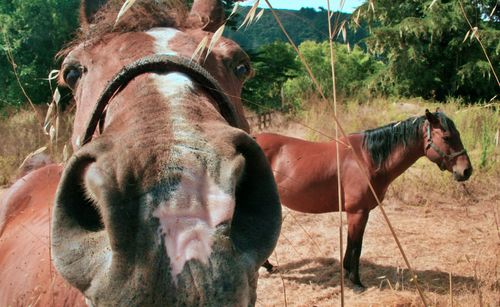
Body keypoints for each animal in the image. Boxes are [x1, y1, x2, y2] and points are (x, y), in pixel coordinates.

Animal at [256, 110, 470, 294]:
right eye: (446, 137)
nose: (466, 170)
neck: (366, 159)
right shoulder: (358, 212)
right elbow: (356, 246)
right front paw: (356, 282)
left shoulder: (357, 213)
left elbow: (351, 243)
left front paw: (346, 270)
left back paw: (267, 265)